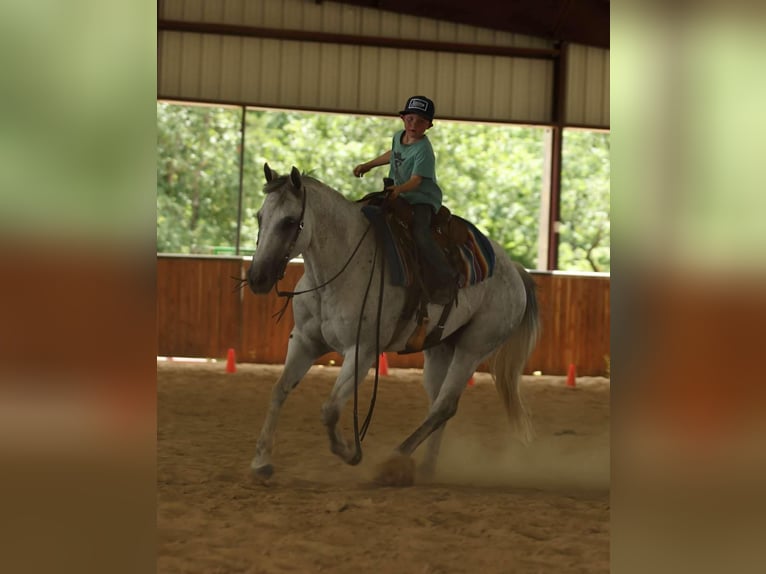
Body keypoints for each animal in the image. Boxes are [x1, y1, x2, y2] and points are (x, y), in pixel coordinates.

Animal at [246, 164, 540, 486]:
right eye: (260, 217)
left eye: (288, 222)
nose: (257, 277)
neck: (341, 267)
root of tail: (514, 271)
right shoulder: (304, 341)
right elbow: (279, 390)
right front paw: (261, 463)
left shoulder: (361, 350)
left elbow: (330, 409)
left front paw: (351, 453)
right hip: (439, 349)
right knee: (438, 404)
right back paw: (426, 468)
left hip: (472, 349)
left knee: (445, 406)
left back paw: (394, 461)